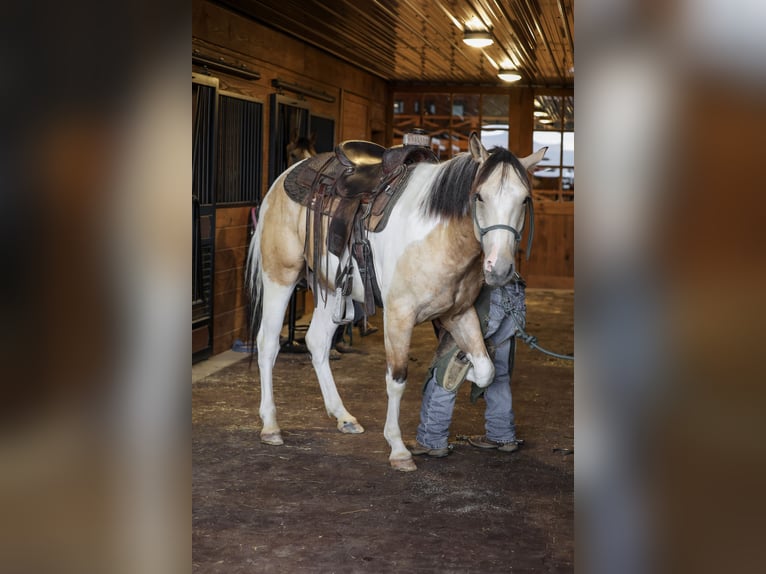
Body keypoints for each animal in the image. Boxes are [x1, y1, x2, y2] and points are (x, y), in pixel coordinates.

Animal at [246, 133, 546, 471]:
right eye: (480, 196)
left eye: (524, 199)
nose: (500, 268)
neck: (437, 234)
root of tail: (282, 179)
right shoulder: (399, 316)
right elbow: (397, 378)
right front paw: (399, 449)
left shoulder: (458, 313)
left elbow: (485, 368)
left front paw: (462, 371)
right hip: (280, 276)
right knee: (268, 343)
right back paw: (271, 426)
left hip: (331, 289)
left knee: (317, 343)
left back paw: (343, 417)